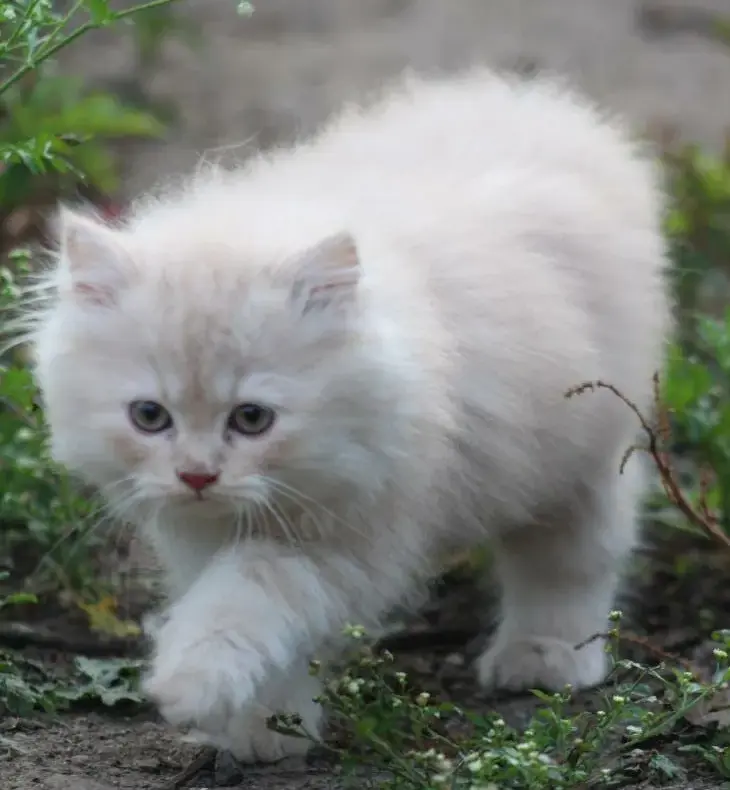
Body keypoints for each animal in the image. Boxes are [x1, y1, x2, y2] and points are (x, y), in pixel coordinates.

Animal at [28, 69, 668, 768]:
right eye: (149, 416)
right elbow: (268, 637)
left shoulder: (354, 536)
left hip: (583, 455)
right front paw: (266, 730)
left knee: (571, 560)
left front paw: (190, 681)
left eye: (252, 419)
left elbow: (246, 598)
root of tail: (540, 104)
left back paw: (547, 659)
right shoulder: (202, 535)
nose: (197, 476)